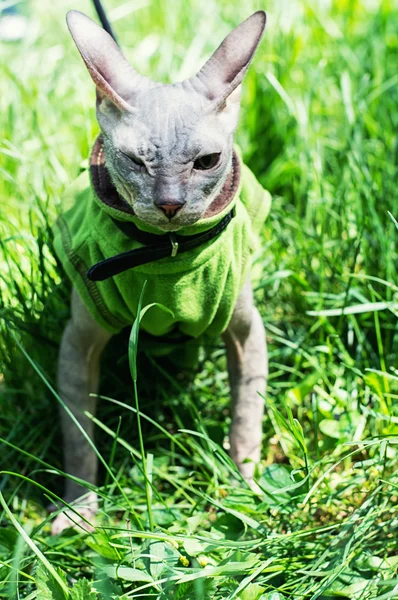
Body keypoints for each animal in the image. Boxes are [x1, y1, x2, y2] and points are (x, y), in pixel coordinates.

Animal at [49, 8, 268, 536]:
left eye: (207, 161)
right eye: (134, 161)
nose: (170, 204)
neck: (167, 257)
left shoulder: (247, 333)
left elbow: (247, 415)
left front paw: (246, 486)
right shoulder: (78, 343)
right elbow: (78, 438)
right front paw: (79, 509)